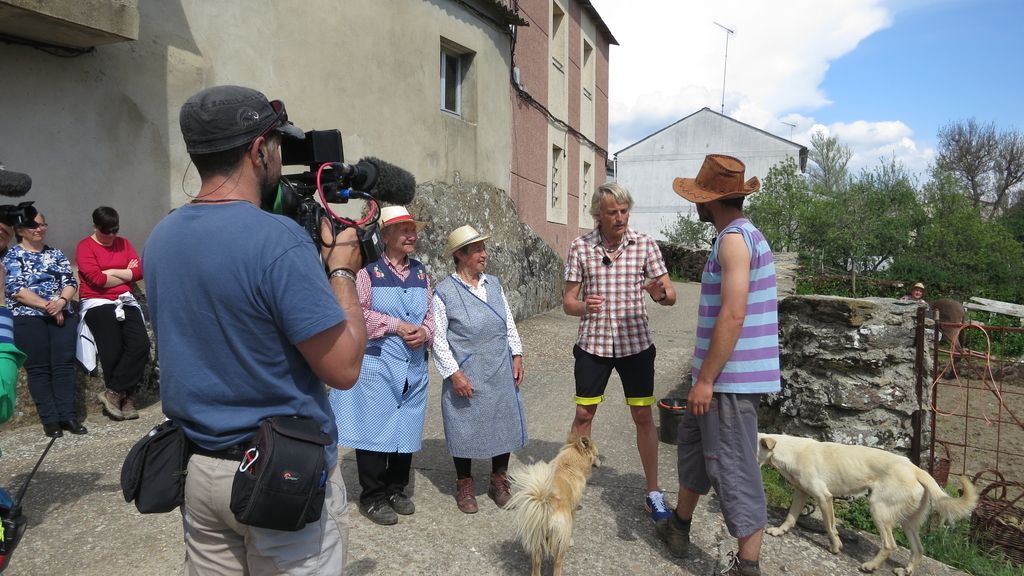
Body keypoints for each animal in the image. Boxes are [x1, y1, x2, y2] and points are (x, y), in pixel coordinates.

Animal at [505, 432, 598, 573]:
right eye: (597, 455)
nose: (600, 461)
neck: (568, 463)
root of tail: (546, 505)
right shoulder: (573, 509)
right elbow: (573, 525)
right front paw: (571, 540)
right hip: (559, 542)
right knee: (557, 565)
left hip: (536, 541)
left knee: (536, 566)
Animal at [757, 432, 978, 569]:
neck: (789, 450)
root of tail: (916, 469)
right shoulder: (801, 493)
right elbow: (791, 517)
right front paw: (779, 531)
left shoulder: (823, 497)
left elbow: (830, 527)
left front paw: (836, 547)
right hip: (908, 523)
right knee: (918, 550)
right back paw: (905, 570)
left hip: (878, 508)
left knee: (890, 545)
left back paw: (870, 566)